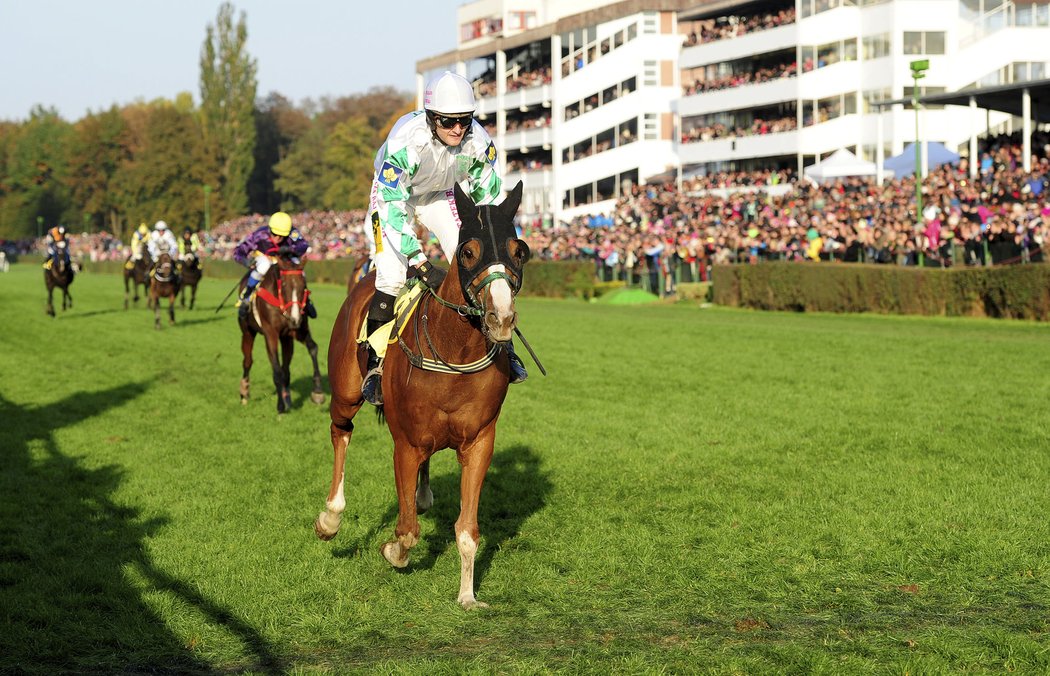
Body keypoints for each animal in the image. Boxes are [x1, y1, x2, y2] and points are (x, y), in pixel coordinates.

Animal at [240, 250, 325, 413]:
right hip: (247, 331)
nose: (295, 319)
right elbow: (277, 370)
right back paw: (244, 393)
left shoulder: (298, 330)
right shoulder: (270, 333)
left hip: (286, 338)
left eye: (304, 286)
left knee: (286, 368)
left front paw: (318, 392)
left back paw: (287, 397)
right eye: (284, 285)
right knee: (247, 361)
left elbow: (313, 348)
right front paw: (280, 406)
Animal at [308, 182, 525, 608]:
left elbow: (467, 530)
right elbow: (407, 530)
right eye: (468, 252)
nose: (502, 317)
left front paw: (467, 595)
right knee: (341, 432)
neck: (454, 353)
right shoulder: (405, 444)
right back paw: (330, 518)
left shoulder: (479, 441)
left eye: (518, 251)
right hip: (345, 393)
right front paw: (392, 550)